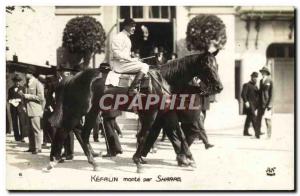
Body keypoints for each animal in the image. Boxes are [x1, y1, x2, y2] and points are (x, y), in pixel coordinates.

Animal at [45, 51, 223, 172]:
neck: (162, 79)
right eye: (207, 66)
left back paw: (89, 162)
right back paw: (53, 160)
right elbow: (144, 136)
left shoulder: (166, 113)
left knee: (81, 133)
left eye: (217, 65)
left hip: (92, 112)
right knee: (64, 131)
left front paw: (189, 159)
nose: (219, 87)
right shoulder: (151, 113)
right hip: (78, 111)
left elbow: (179, 135)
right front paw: (138, 161)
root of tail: (72, 77)